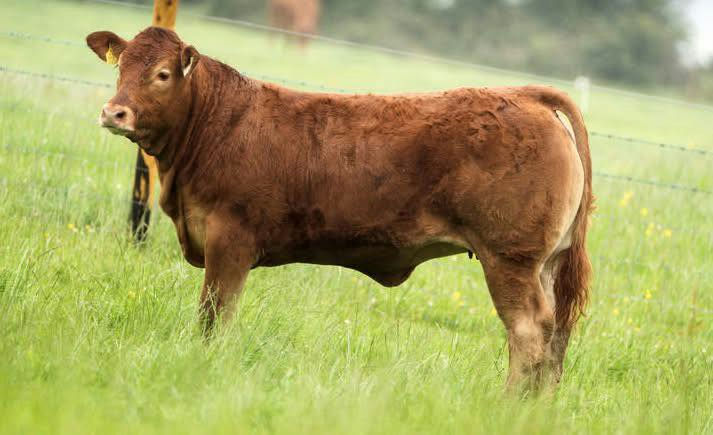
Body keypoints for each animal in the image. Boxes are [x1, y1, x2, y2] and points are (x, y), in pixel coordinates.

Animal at [86, 27, 592, 390]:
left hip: (510, 261)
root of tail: (526, 95)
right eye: (120, 68)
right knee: (556, 336)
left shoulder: (228, 242)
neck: (214, 124)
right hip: (544, 265)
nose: (113, 113)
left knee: (528, 333)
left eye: (162, 74)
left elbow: (214, 317)